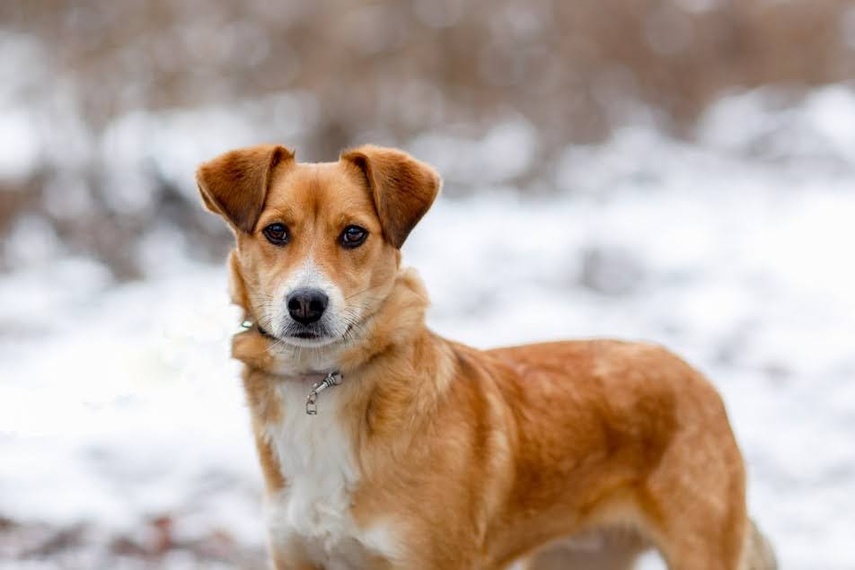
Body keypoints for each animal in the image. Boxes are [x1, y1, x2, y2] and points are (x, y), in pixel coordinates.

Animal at [196, 144, 776, 564]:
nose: (306, 304)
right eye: (276, 231)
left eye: (354, 234)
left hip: (700, 548)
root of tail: (692, 372)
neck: (324, 380)